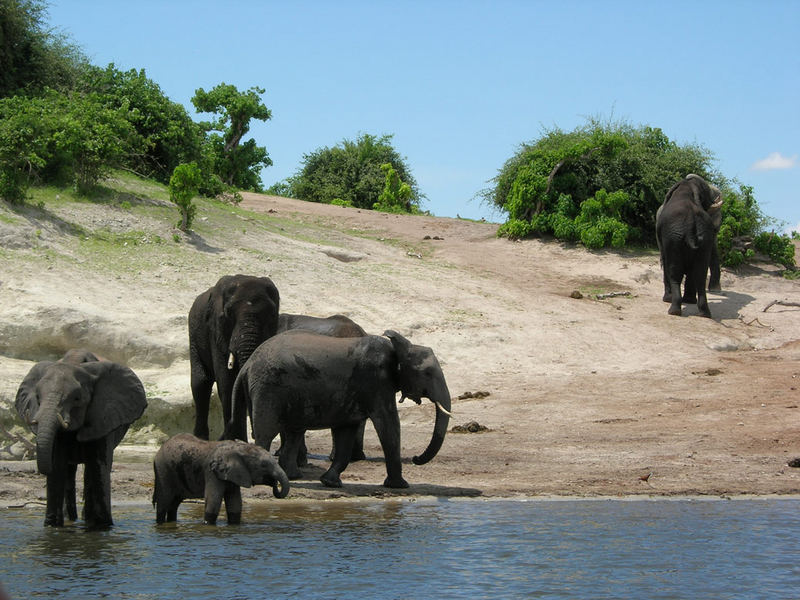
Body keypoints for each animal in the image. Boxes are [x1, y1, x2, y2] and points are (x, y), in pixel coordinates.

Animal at [15, 350, 147, 528]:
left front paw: (101, 526)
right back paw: (71, 518)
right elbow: (57, 465)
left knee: (91, 470)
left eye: (77, 398)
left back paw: (86, 518)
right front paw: (52, 526)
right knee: (69, 471)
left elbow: (98, 465)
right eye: (37, 397)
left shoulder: (102, 415)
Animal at [152, 432, 290, 524]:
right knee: (164, 502)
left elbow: (235, 503)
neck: (239, 448)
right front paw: (208, 525)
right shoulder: (211, 472)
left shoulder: (235, 473)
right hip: (163, 470)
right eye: (263, 465)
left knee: (174, 503)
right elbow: (213, 500)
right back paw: (160, 523)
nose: (275, 485)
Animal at [191, 274, 282, 438]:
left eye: (272, 314)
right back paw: (200, 438)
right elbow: (227, 385)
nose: (254, 435)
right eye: (228, 313)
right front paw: (235, 441)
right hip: (194, 333)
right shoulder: (216, 332)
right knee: (200, 384)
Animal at [227, 330, 450, 490]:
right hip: (268, 389)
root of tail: (247, 365)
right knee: (266, 432)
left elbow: (346, 432)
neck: (400, 348)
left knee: (293, 433)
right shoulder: (376, 383)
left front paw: (330, 483)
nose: (416, 458)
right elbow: (388, 426)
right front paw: (400, 486)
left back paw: (292, 477)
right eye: (427, 373)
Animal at [656, 175, 724, 318]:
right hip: (703, 239)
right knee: (700, 273)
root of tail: (690, 223)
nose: (689, 176)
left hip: (674, 238)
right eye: (705, 190)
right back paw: (703, 312)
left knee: (675, 272)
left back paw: (673, 309)